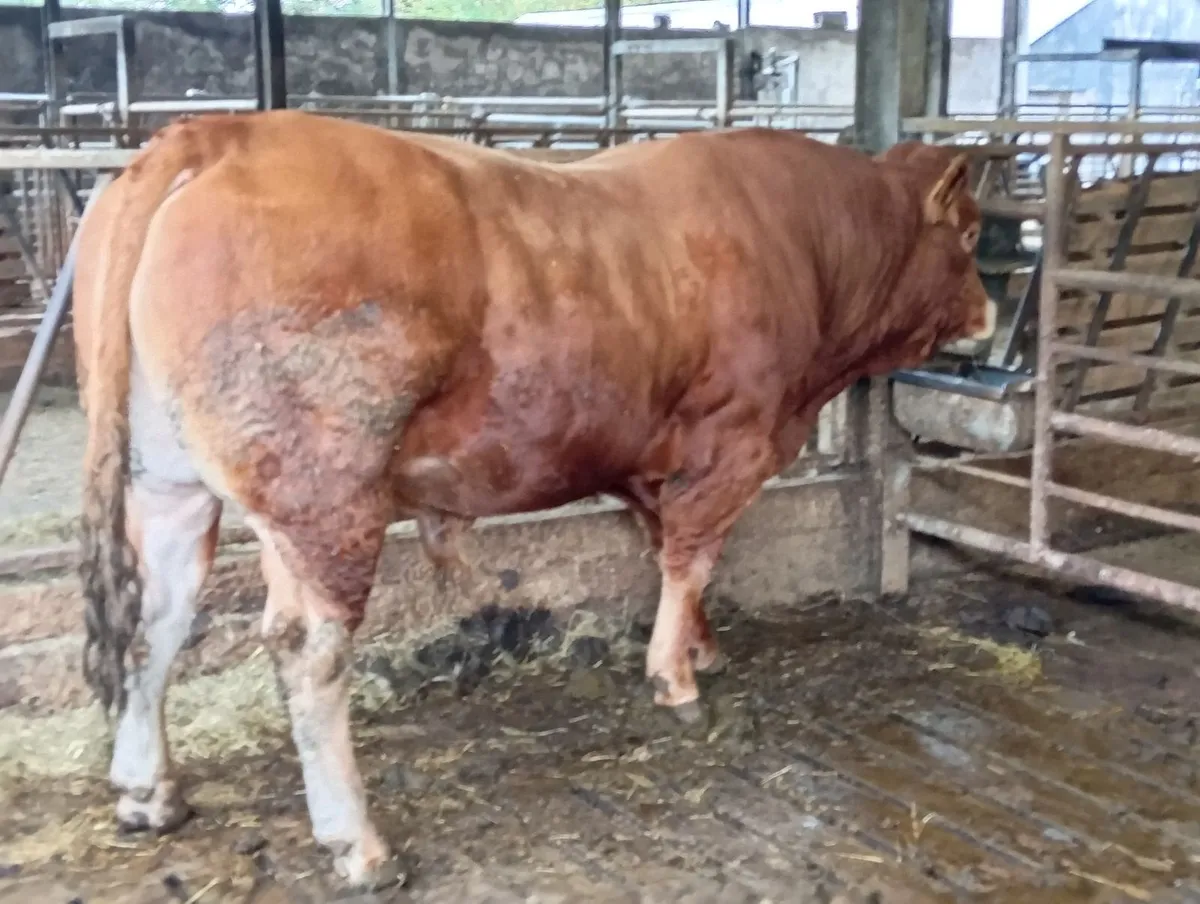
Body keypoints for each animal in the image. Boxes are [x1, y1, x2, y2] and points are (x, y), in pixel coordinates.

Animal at [72, 110, 994, 889]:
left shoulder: (652, 459)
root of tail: (220, 132)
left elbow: (669, 550)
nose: (987, 314)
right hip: (323, 492)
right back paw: (359, 847)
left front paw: (700, 648)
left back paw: (148, 792)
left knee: (156, 618)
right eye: (973, 232)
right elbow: (695, 554)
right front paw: (676, 680)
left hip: (169, 482)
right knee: (308, 650)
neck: (806, 246)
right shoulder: (732, 440)